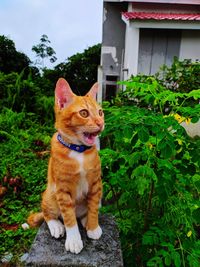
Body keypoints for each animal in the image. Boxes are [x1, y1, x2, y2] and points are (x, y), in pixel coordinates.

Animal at [27, 78, 104, 255]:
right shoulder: (62, 189)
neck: (78, 151)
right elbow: (69, 217)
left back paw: (86, 220)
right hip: (50, 194)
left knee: (84, 211)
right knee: (48, 213)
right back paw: (56, 225)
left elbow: (94, 206)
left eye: (100, 112)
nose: (101, 123)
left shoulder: (96, 183)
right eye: (84, 113)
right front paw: (74, 240)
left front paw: (93, 226)